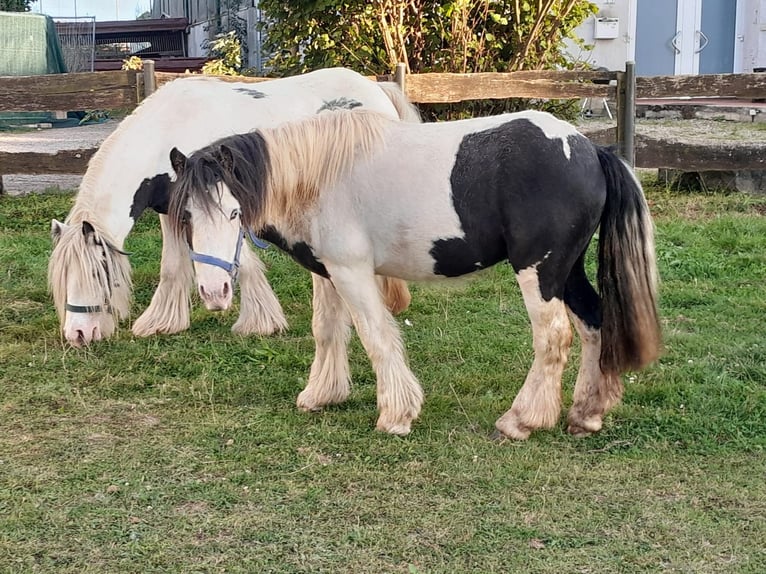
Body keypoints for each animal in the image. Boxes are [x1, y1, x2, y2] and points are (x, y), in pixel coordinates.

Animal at [48, 67, 420, 346]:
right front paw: (162, 322)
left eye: (97, 272)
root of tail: (377, 89)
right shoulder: (174, 212)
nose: (78, 334)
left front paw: (259, 321)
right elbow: (172, 267)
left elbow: (243, 262)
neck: (167, 134)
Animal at [166, 108, 660, 440]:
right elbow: (327, 331)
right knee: (594, 324)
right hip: (567, 270)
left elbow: (376, 337)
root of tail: (591, 149)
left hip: (539, 272)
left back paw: (521, 420)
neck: (318, 176)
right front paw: (322, 395)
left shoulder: (352, 273)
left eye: (234, 213)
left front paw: (396, 416)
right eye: (186, 216)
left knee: (553, 337)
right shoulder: (327, 274)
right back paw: (586, 413)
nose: (214, 291)